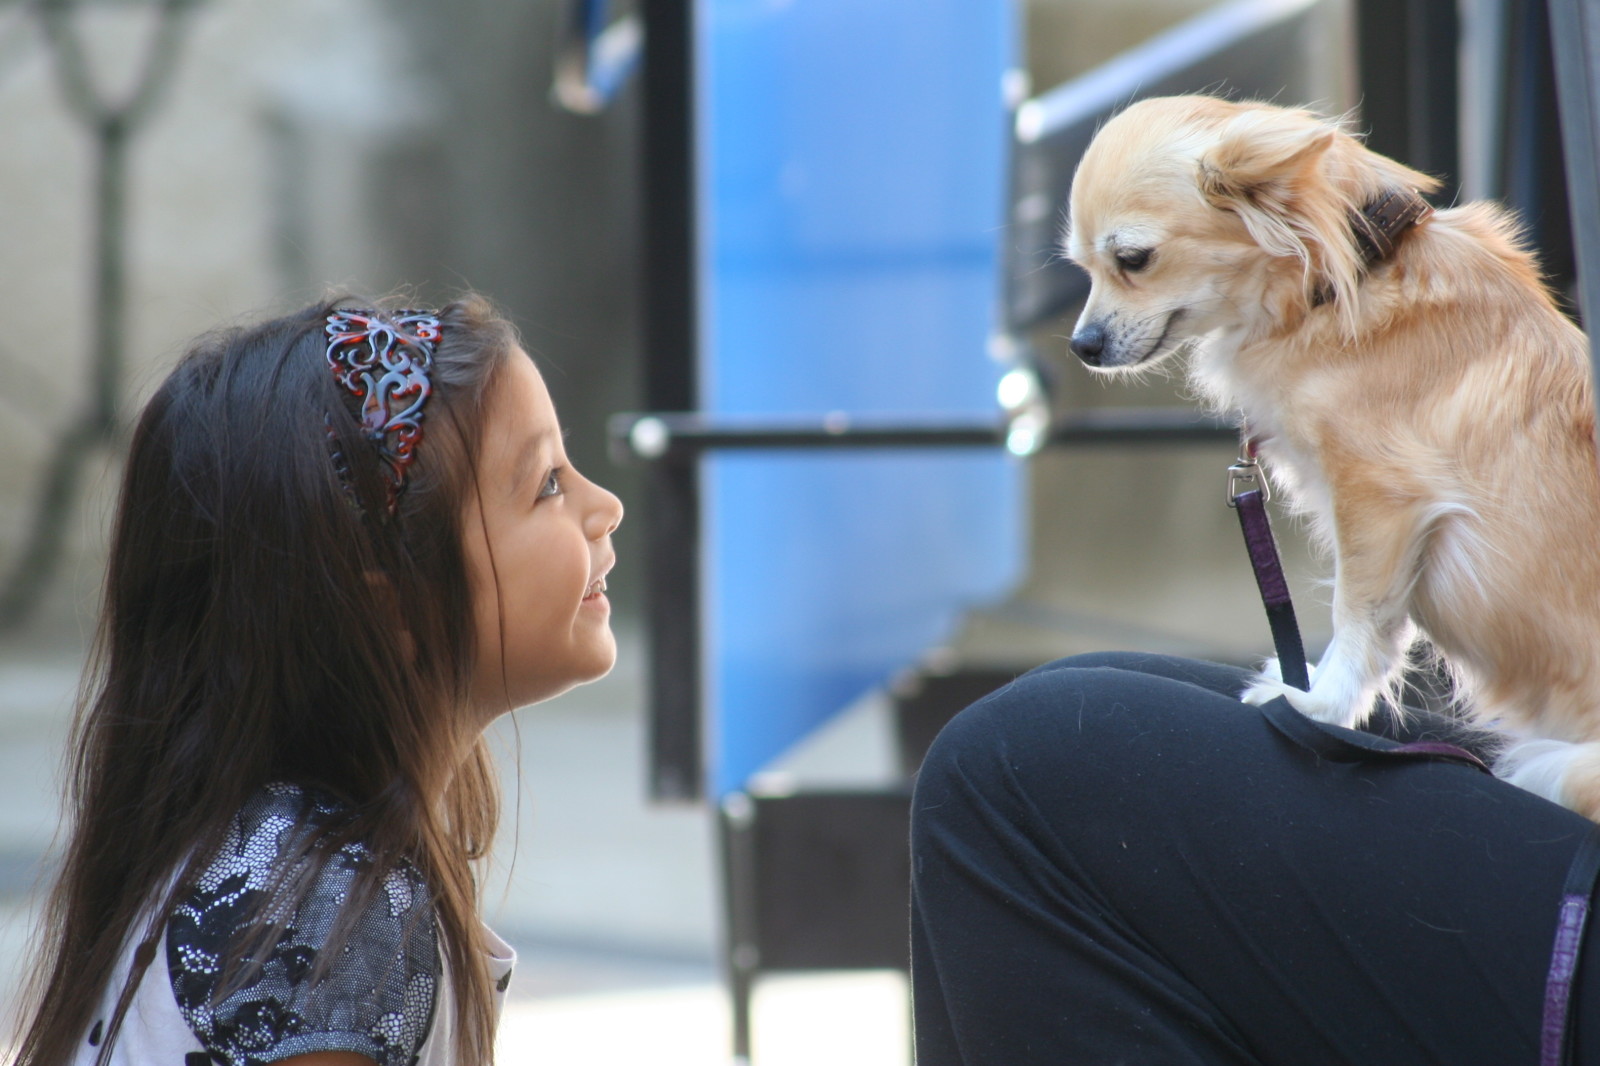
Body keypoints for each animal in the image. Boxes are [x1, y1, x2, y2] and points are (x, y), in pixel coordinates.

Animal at [1062, 95, 1600, 813]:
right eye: (1082, 270)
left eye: (1134, 258)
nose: (1082, 345)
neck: (1349, 279)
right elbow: (1383, 624)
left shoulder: (1381, 500)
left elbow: (1360, 616)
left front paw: (1318, 704)